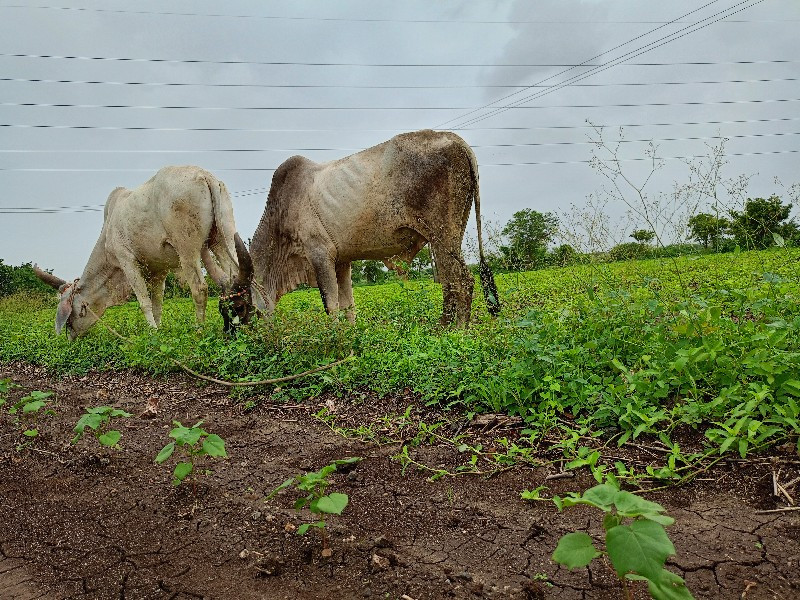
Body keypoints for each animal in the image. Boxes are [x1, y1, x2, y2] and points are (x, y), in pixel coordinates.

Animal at [33, 166, 253, 340]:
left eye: (70, 317)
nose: (71, 337)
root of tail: (205, 176)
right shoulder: (159, 270)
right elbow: (157, 303)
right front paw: (159, 328)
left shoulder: (126, 260)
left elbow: (144, 301)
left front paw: (152, 333)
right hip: (222, 235)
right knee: (236, 276)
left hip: (187, 247)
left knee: (200, 288)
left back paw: (199, 330)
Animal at [250, 129, 500, 326]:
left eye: (245, 308)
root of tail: (455, 140)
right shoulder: (341, 262)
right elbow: (348, 306)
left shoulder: (319, 256)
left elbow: (331, 306)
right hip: (450, 233)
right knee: (450, 282)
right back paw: (444, 328)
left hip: (441, 233)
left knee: (461, 280)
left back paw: (456, 331)